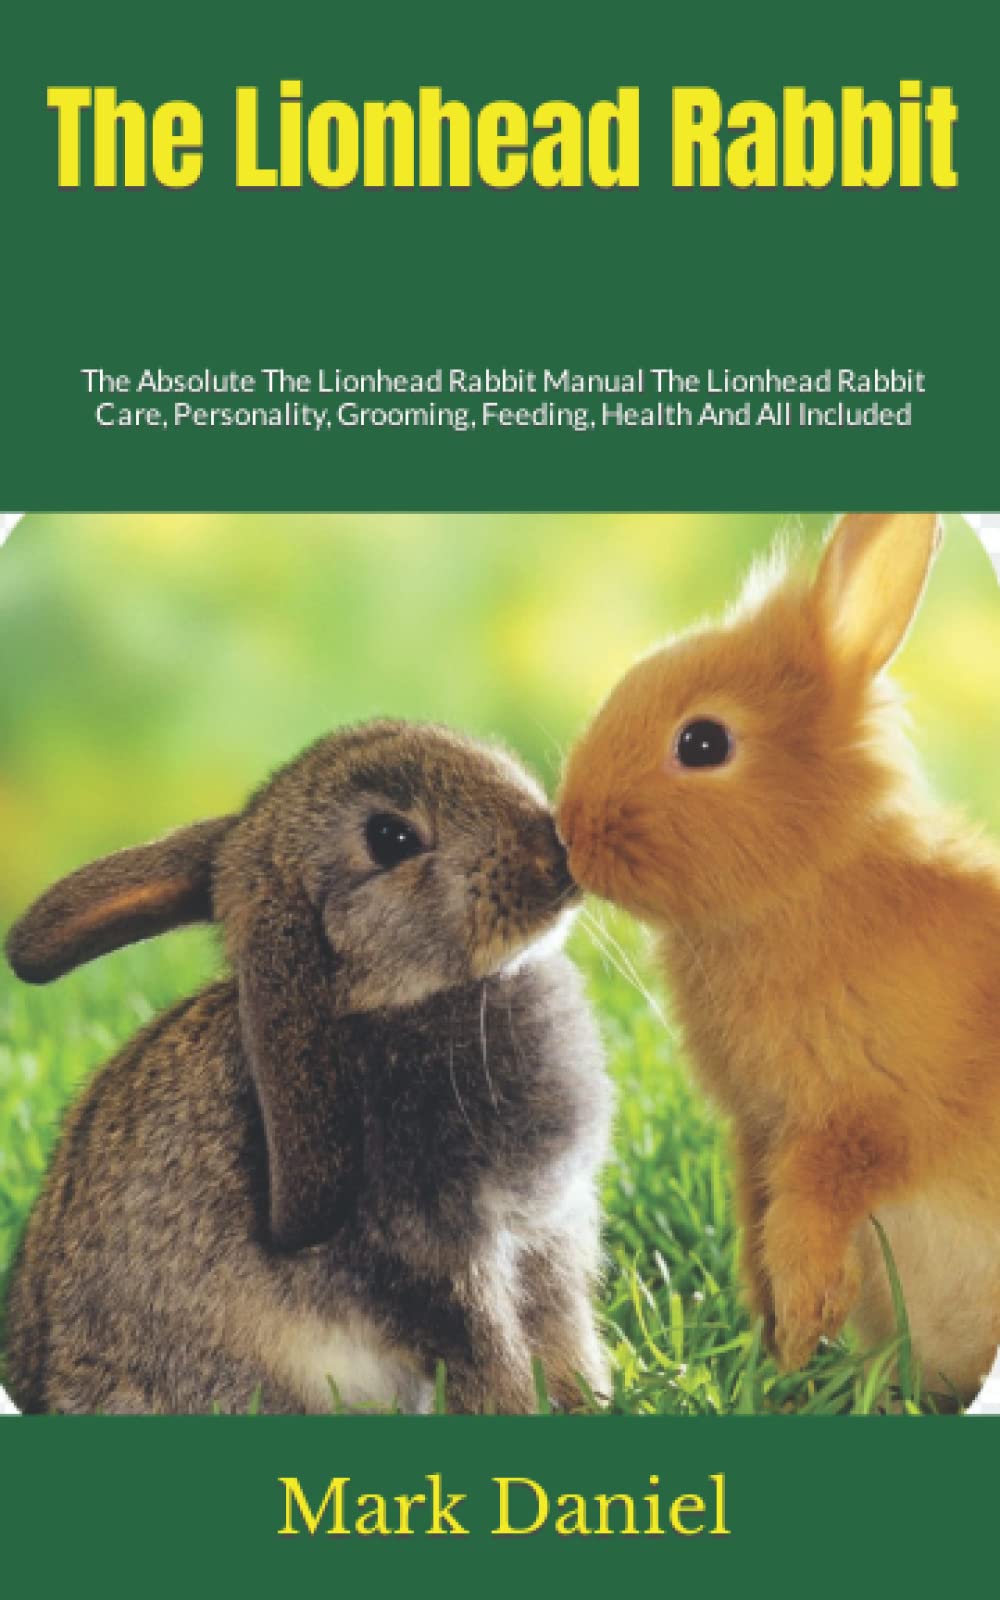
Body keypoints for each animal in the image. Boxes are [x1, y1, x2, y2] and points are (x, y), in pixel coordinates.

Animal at [3, 719, 612, 1414]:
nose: (555, 855)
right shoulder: (438, 1258)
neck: (385, 1001)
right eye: (391, 838)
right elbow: (490, 1354)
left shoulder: (550, 1236)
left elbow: (564, 1338)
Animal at [558, 514, 1000, 1402]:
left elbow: (808, 1208)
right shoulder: (757, 1131)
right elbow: (758, 1215)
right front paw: (777, 1341)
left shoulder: (860, 1121)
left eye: (702, 741)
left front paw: (800, 1325)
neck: (809, 884)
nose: (568, 830)